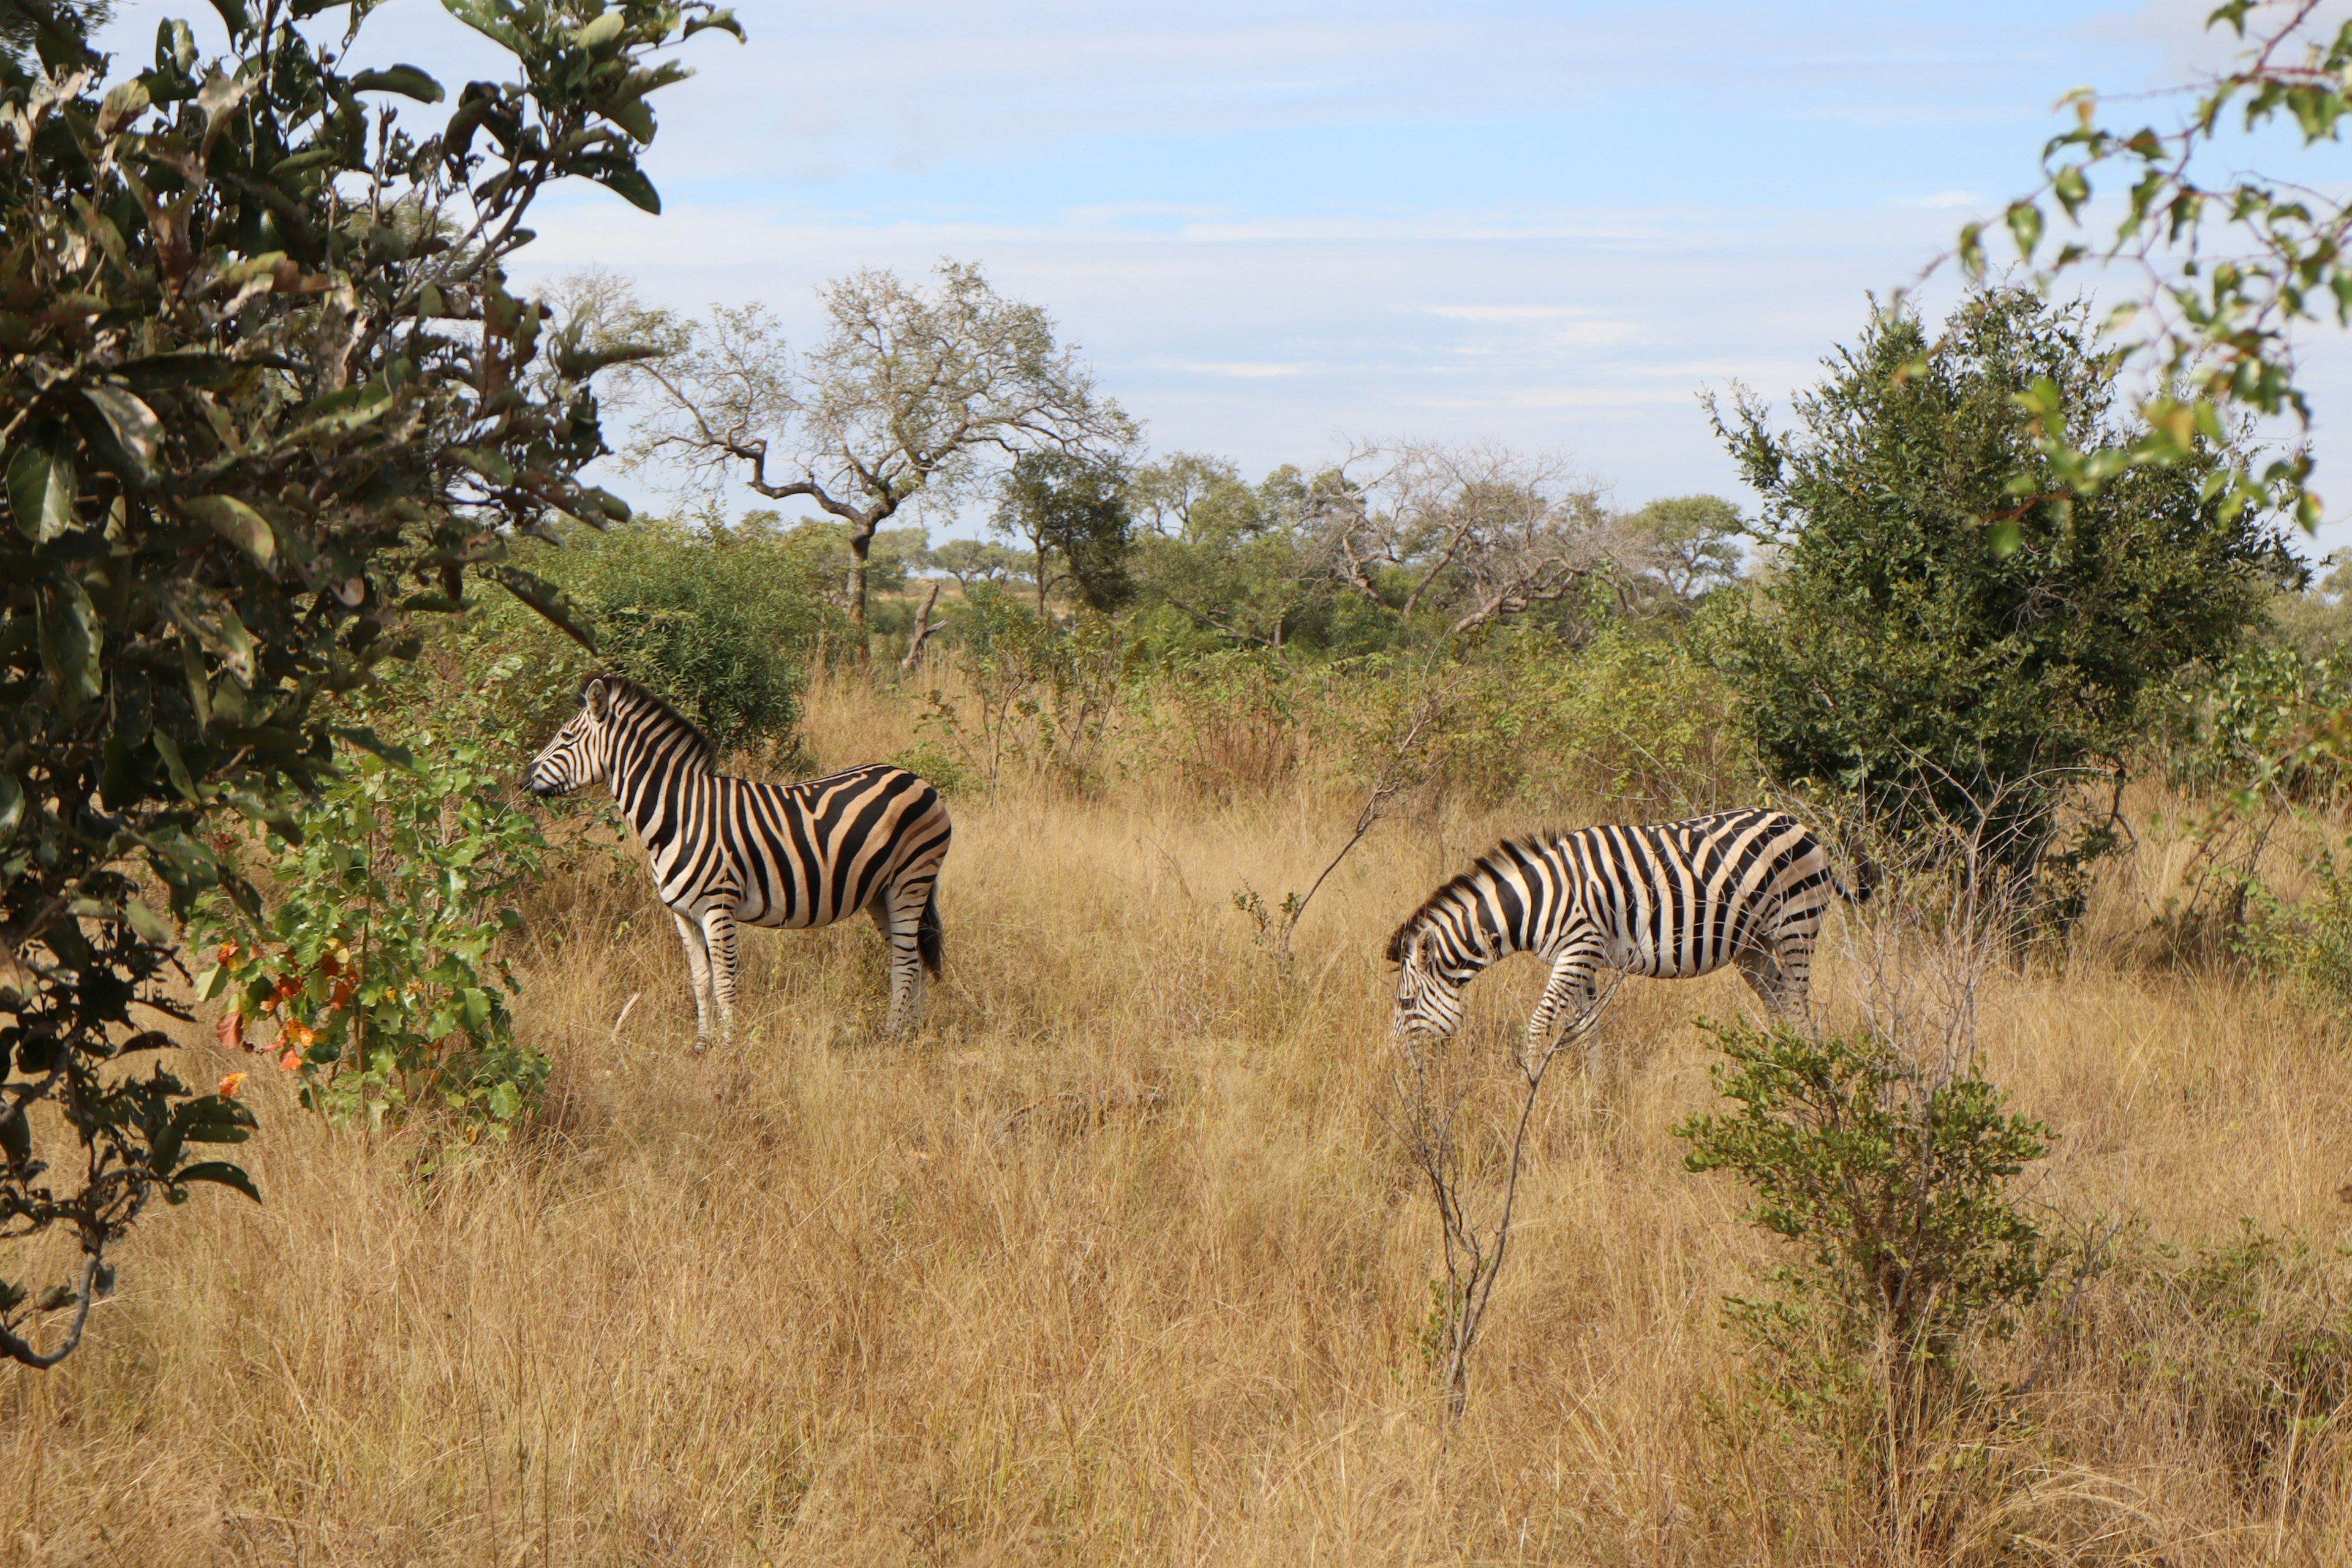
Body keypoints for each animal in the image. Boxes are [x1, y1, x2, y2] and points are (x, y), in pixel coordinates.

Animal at [524, 677, 945, 1053]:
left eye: (566, 738)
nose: (522, 781)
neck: (679, 818)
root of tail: (916, 778)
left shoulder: (718, 906)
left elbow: (725, 981)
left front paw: (728, 1049)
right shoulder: (682, 914)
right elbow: (701, 980)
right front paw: (701, 1045)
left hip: (911, 880)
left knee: (905, 962)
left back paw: (892, 1038)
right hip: (880, 892)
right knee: (914, 959)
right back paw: (912, 1034)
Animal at [1373, 809, 1853, 1067]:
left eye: (1406, 1004)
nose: (1393, 1066)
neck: (1536, 900)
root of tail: (1801, 825)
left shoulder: (1578, 949)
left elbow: (1540, 1025)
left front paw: (1528, 1089)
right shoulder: (1581, 960)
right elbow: (1588, 1031)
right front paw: (1596, 1099)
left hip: (1796, 924)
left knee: (1799, 1005)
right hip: (1752, 947)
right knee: (1781, 1004)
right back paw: (1783, 1068)